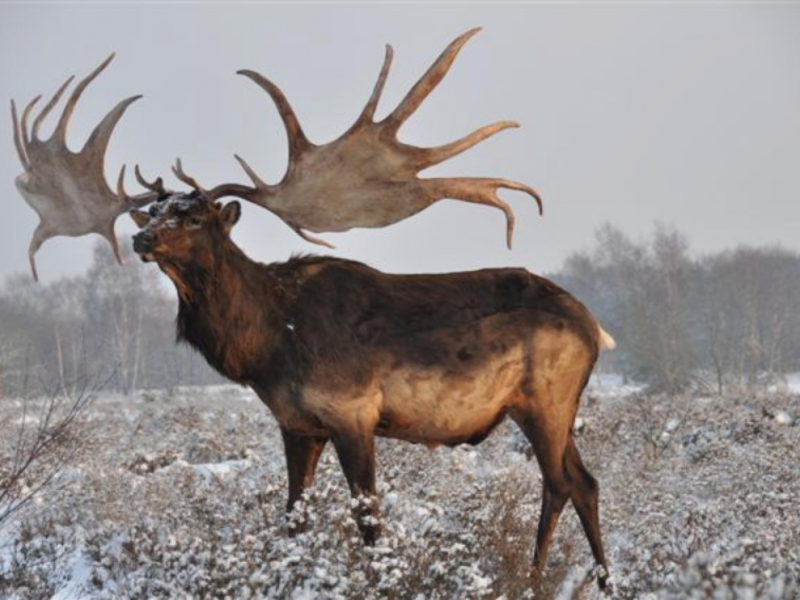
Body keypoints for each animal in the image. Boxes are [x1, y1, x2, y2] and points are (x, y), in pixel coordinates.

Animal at [10, 29, 614, 589]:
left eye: (196, 215)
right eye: (154, 211)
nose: (142, 239)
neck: (267, 344)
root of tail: (594, 326)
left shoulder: (353, 411)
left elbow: (369, 522)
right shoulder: (297, 424)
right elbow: (293, 519)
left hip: (546, 397)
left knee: (560, 482)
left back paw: (536, 580)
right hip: (544, 406)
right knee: (584, 482)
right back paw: (597, 581)